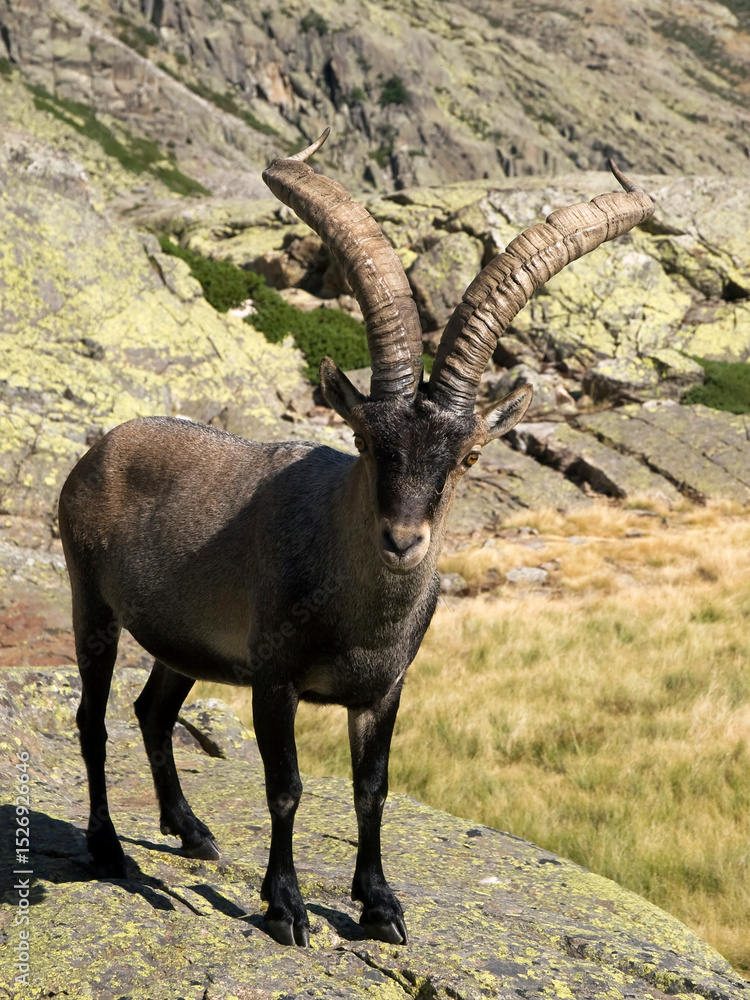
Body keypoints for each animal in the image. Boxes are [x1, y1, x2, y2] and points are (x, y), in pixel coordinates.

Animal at [59, 129, 654, 947]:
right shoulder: (275, 679)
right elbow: (286, 787)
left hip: (185, 640)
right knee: (92, 719)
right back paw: (110, 847)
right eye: (366, 441)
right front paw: (286, 906)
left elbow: (372, 788)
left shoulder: (383, 690)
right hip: (92, 602)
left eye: (467, 457)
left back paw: (192, 831)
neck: (357, 611)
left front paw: (379, 905)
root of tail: (101, 448)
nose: (402, 540)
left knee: (154, 709)